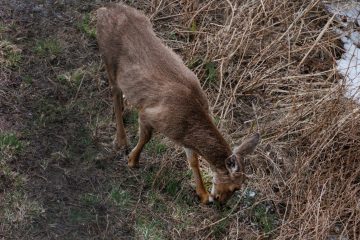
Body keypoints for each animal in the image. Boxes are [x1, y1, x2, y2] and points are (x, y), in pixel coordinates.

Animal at [95, 2, 258, 203]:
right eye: (236, 187)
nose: (220, 202)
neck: (188, 119)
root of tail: (104, 10)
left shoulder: (184, 137)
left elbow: (193, 160)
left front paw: (203, 194)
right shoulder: (150, 114)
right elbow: (146, 137)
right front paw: (132, 160)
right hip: (109, 60)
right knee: (115, 95)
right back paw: (121, 141)